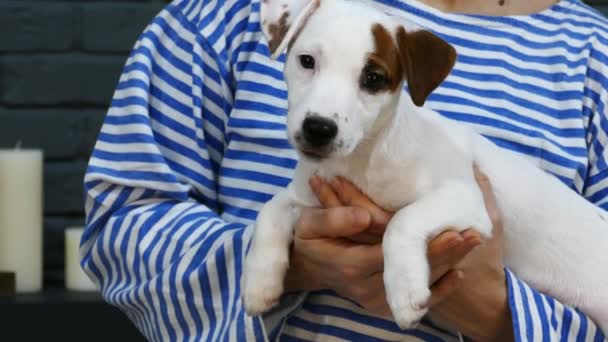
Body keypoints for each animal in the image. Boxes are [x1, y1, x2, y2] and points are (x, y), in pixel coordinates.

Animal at [241, 0, 608, 332]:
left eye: (373, 78)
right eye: (307, 61)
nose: (318, 129)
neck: (365, 158)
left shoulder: (466, 201)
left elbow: (402, 220)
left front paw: (405, 292)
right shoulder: (307, 194)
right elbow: (269, 211)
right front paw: (259, 284)